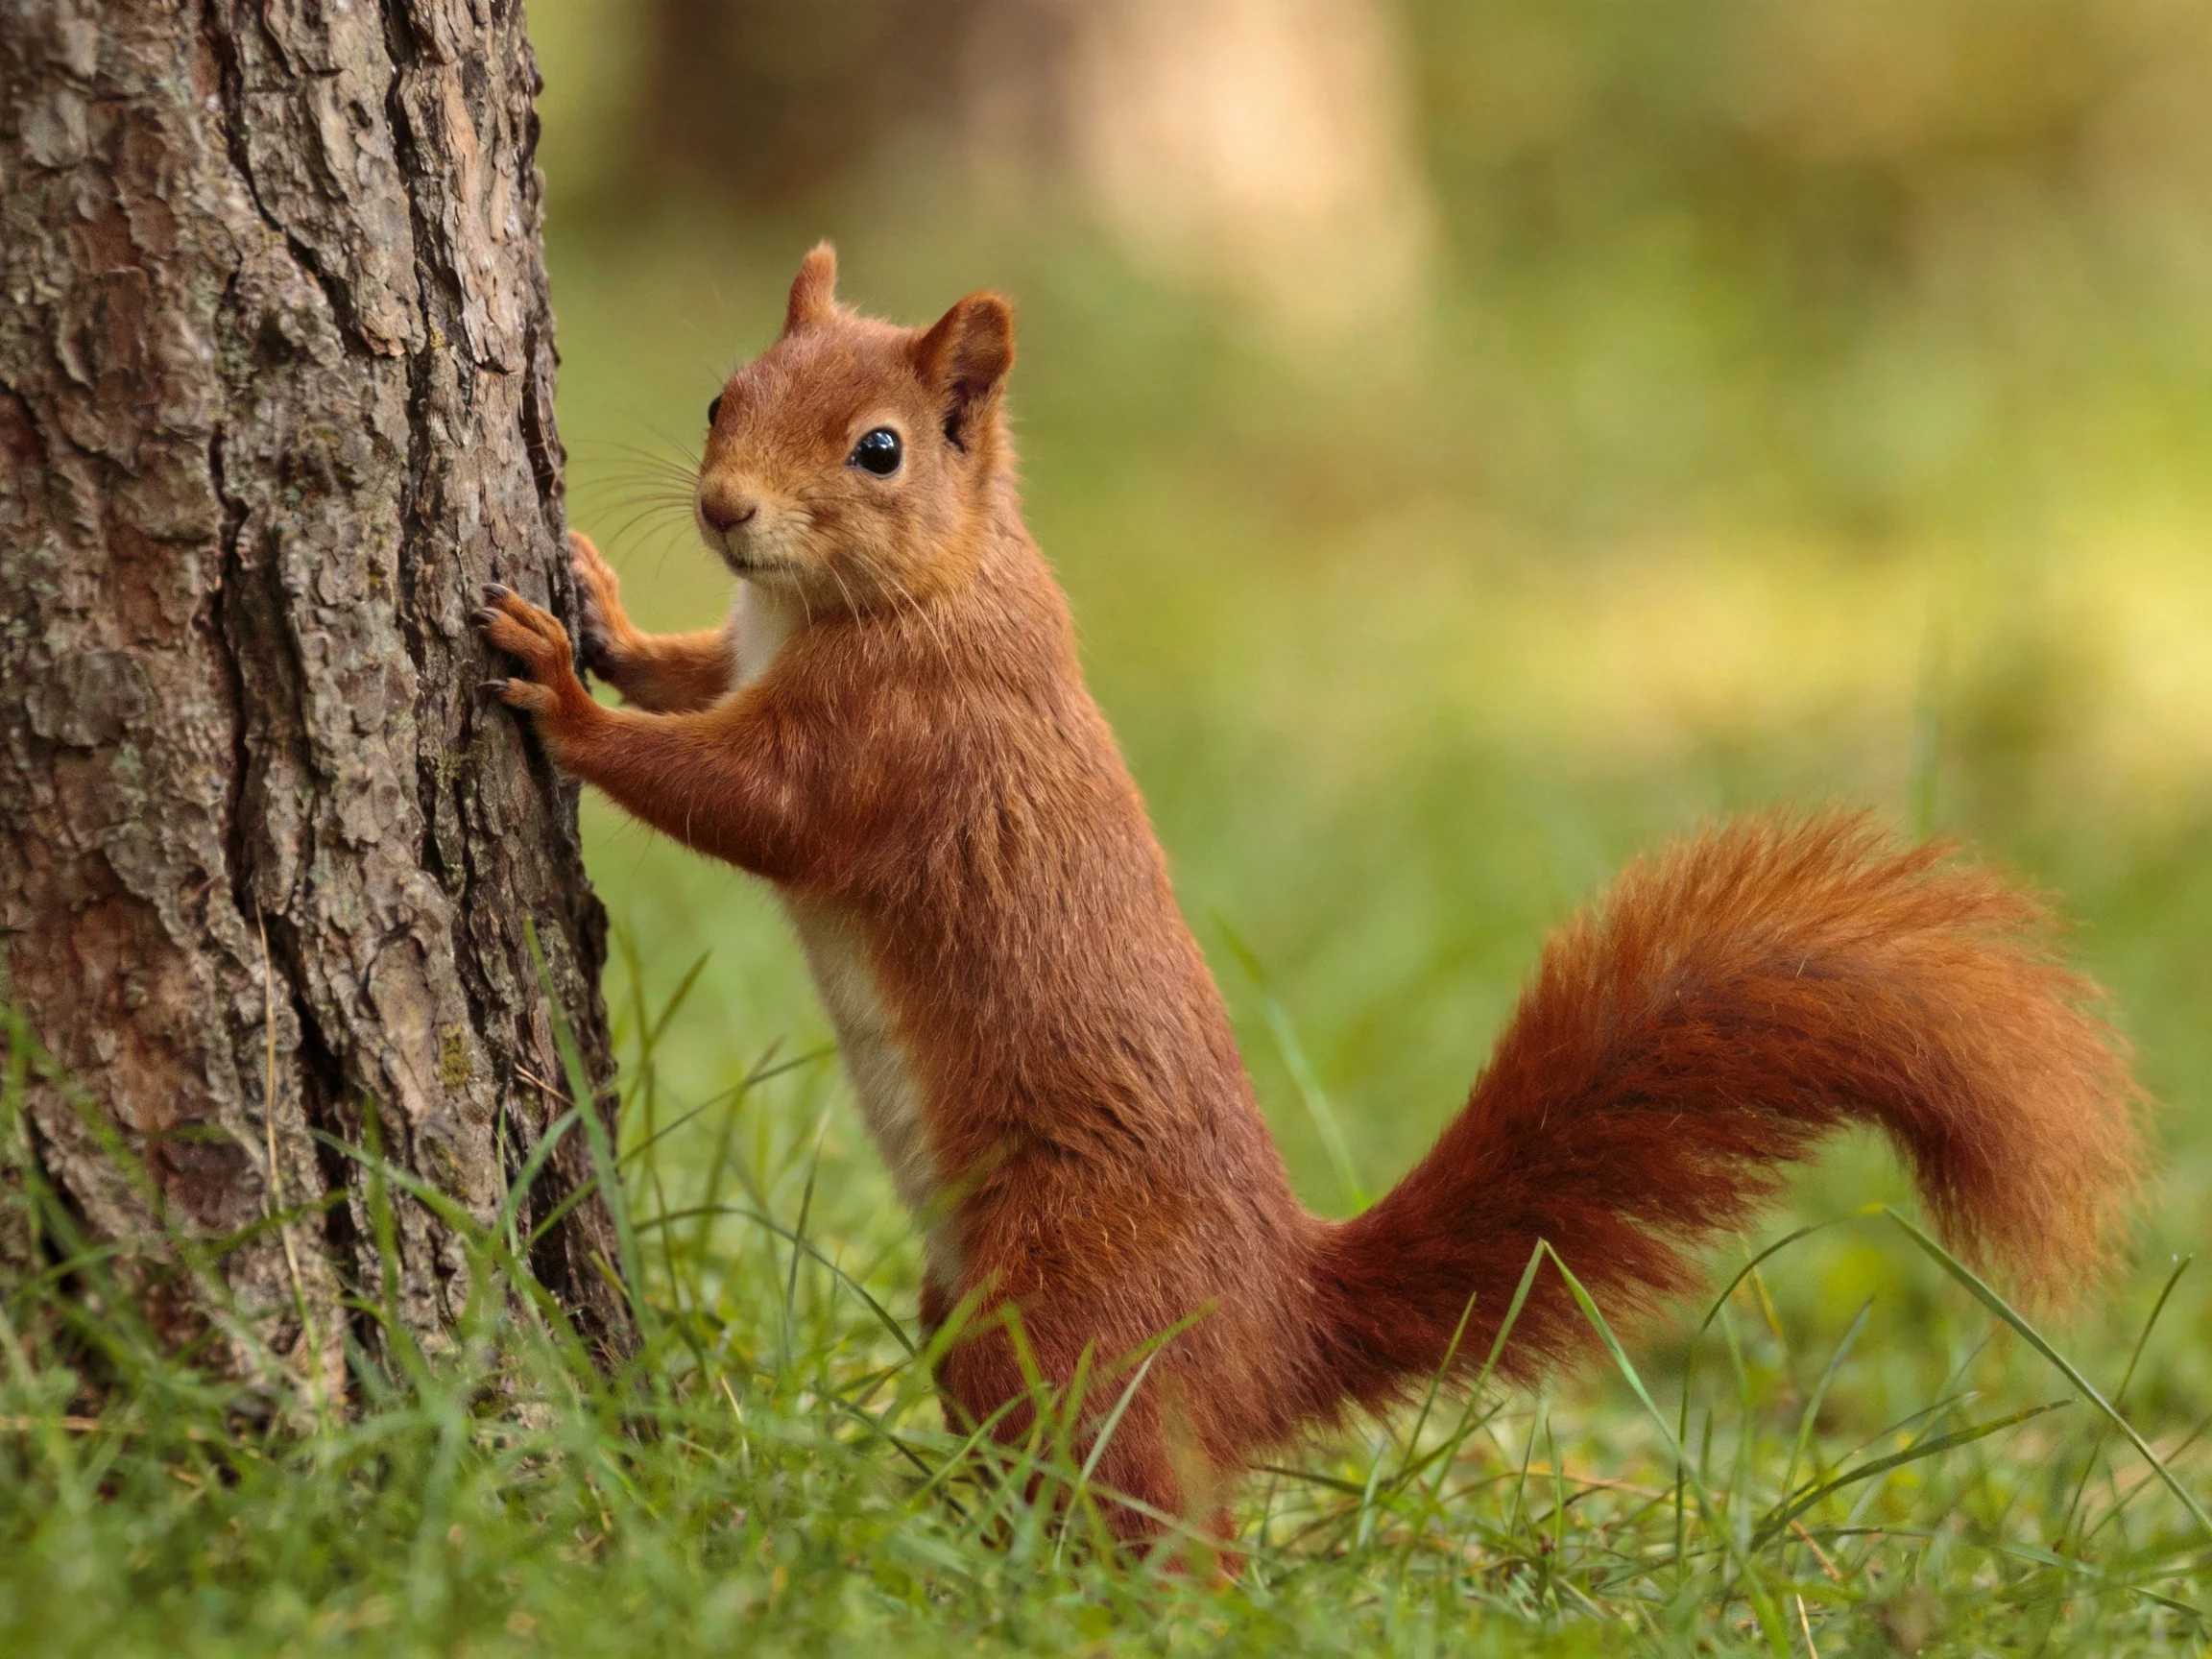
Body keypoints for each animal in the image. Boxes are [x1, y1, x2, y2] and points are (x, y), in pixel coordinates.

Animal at [477, 243, 2144, 1560]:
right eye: (723, 395)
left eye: (880, 450)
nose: (723, 509)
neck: (922, 585)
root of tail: (1278, 1310)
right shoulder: (756, 654)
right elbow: (696, 676)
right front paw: (604, 611)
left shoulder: (902, 742)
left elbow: (745, 804)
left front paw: (563, 692)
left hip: (1067, 1311)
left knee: (1164, 1525)